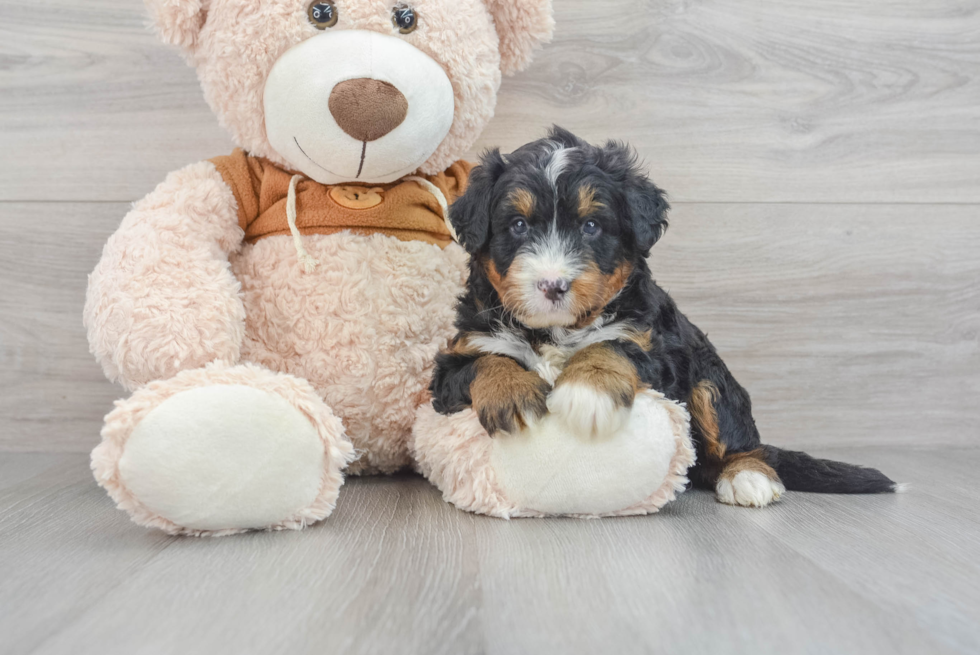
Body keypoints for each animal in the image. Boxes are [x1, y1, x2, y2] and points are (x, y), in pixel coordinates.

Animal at [432, 127, 900, 508]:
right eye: (517, 225)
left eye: (590, 226)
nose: (552, 285)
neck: (557, 332)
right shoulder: (458, 355)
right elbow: (485, 361)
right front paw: (511, 392)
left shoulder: (653, 345)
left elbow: (611, 346)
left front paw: (587, 393)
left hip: (710, 381)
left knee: (741, 442)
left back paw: (748, 478)